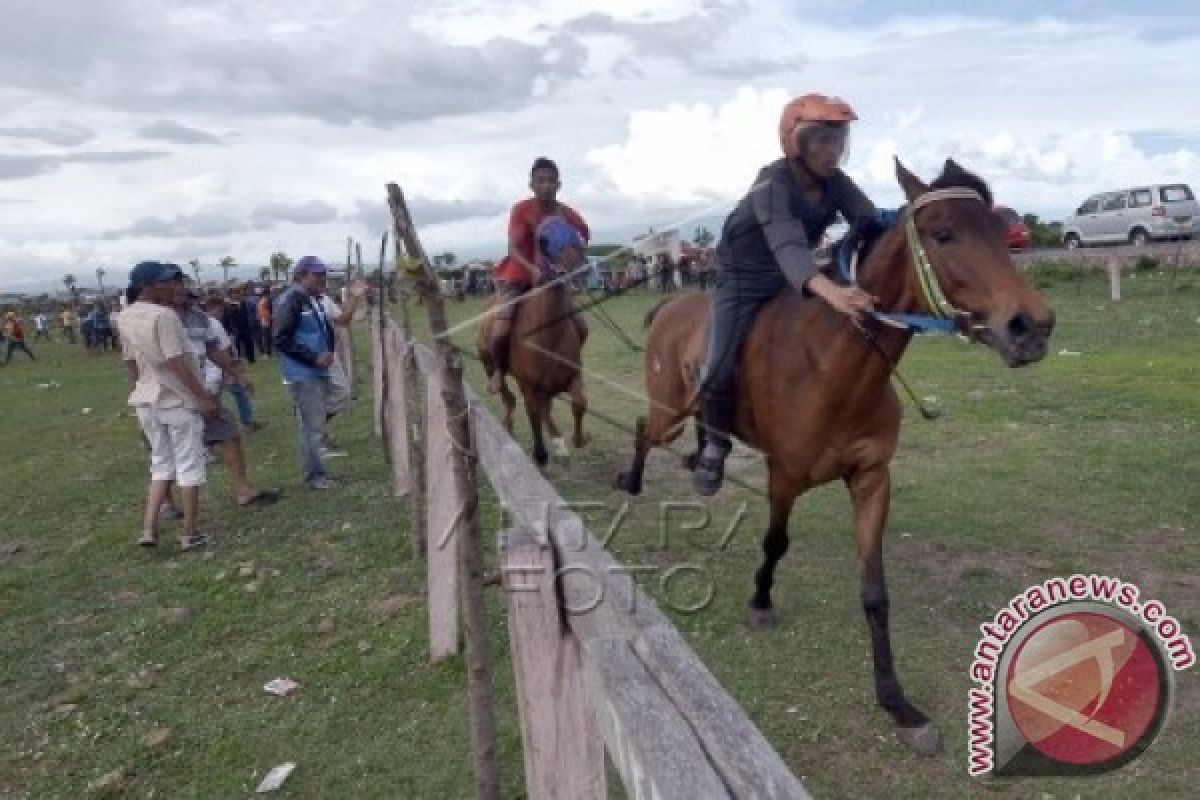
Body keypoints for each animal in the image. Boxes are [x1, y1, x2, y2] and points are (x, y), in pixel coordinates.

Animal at [477, 248, 590, 470]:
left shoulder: (572, 375)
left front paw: (578, 439)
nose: (579, 273)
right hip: (489, 366)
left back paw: (559, 444)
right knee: (508, 397)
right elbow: (533, 416)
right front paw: (540, 457)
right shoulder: (528, 387)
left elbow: (579, 402)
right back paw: (508, 427)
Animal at [614, 159, 1056, 753]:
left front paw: (897, 703)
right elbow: (775, 543)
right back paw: (635, 481)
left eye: (1003, 228)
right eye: (943, 233)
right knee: (645, 429)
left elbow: (875, 594)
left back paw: (701, 464)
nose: (1032, 326)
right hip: (669, 411)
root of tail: (671, 304)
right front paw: (760, 602)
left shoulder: (871, 478)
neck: (832, 365)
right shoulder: (784, 476)